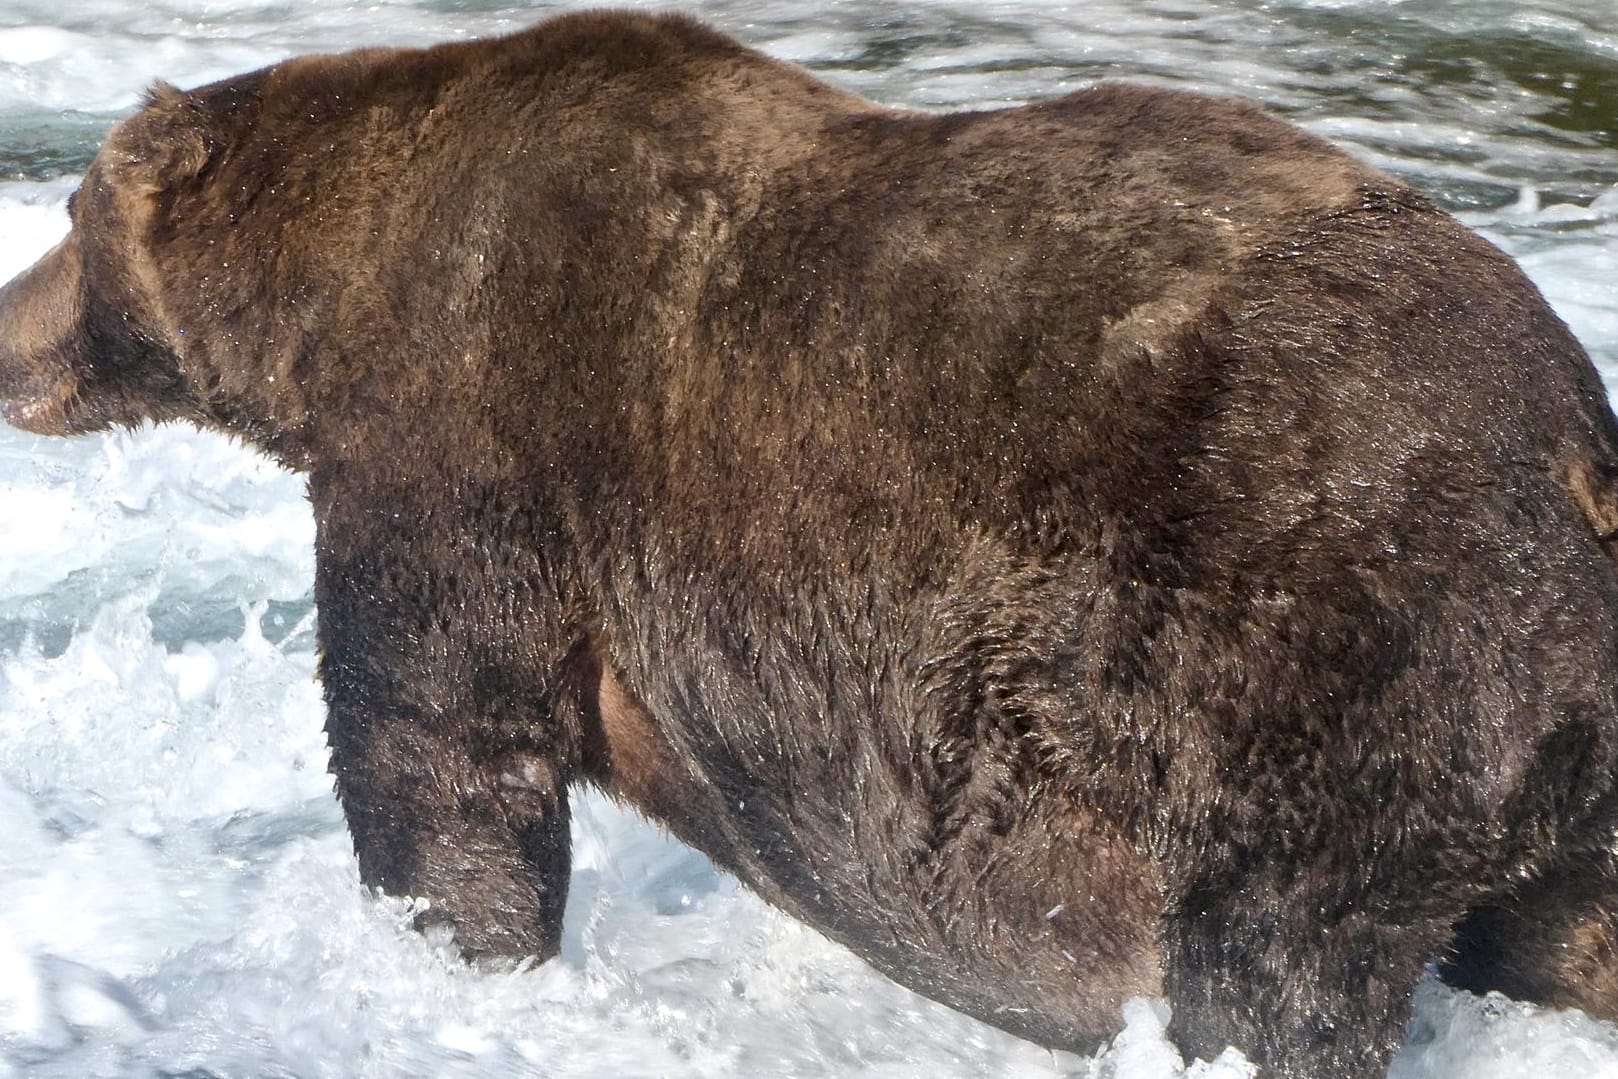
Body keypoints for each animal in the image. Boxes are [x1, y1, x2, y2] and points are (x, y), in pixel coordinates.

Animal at [3, 10, 1618, 1079]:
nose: (6, 328)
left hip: (1317, 640)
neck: (327, 300)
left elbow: (439, 739)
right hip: (1541, 742)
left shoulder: (474, 424)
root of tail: (1577, 450)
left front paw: (441, 949)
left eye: (69, 214)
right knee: (1559, 933)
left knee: (1273, 963)